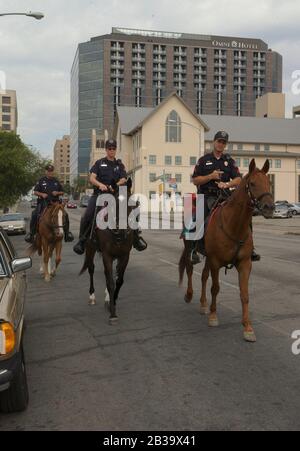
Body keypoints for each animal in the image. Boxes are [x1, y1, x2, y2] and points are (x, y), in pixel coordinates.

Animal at [179, 160, 276, 342]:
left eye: (269, 183)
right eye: (253, 183)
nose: (269, 208)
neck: (234, 225)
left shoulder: (244, 264)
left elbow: (244, 294)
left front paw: (248, 327)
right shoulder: (216, 261)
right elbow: (215, 288)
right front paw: (213, 316)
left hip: (208, 257)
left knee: (203, 276)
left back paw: (203, 304)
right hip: (190, 248)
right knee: (189, 269)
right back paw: (189, 295)